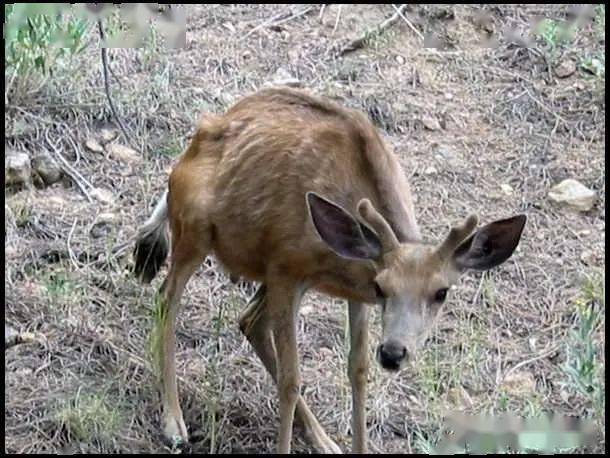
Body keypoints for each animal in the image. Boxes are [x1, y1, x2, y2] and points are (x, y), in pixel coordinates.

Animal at [132, 87, 524, 454]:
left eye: (441, 292)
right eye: (384, 288)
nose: (393, 353)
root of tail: (200, 135)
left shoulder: (352, 291)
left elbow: (358, 370)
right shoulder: (286, 268)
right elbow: (291, 380)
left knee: (248, 320)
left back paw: (322, 439)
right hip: (195, 230)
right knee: (167, 299)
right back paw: (173, 421)